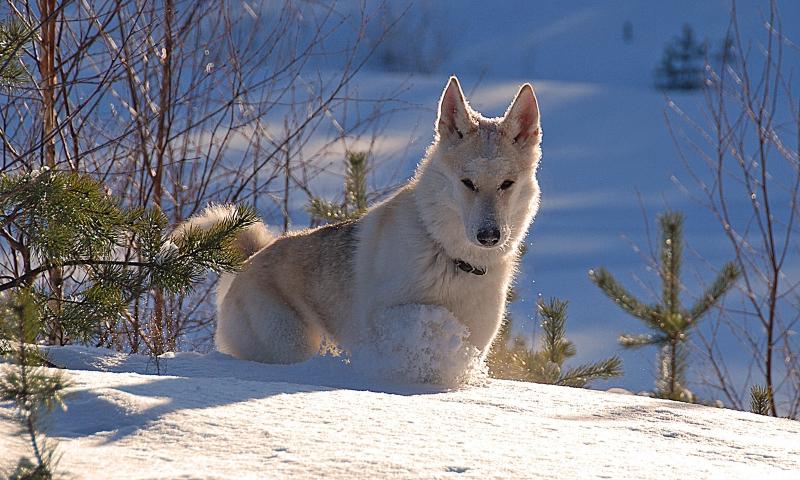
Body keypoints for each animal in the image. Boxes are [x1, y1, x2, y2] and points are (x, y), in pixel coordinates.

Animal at [179, 76, 542, 377]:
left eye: (507, 184)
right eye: (468, 183)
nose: (489, 237)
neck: (451, 258)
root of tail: (250, 259)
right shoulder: (384, 316)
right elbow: (421, 322)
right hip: (289, 342)